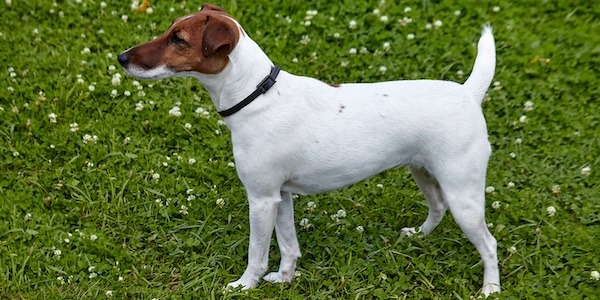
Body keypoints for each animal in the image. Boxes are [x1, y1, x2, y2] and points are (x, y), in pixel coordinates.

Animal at [118, 3, 502, 296]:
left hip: (464, 195)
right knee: (437, 206)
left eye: (178, 40)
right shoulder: (281, 196)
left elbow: (257, 253)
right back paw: (418, 237)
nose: (121, 57)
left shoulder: (261, 199)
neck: (256, 94)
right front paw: (285, 279)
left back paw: (490, 289)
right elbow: (289, 245)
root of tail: (468, 93)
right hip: (423, 171)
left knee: (489, 244)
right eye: (170, 29)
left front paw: (245, 285)